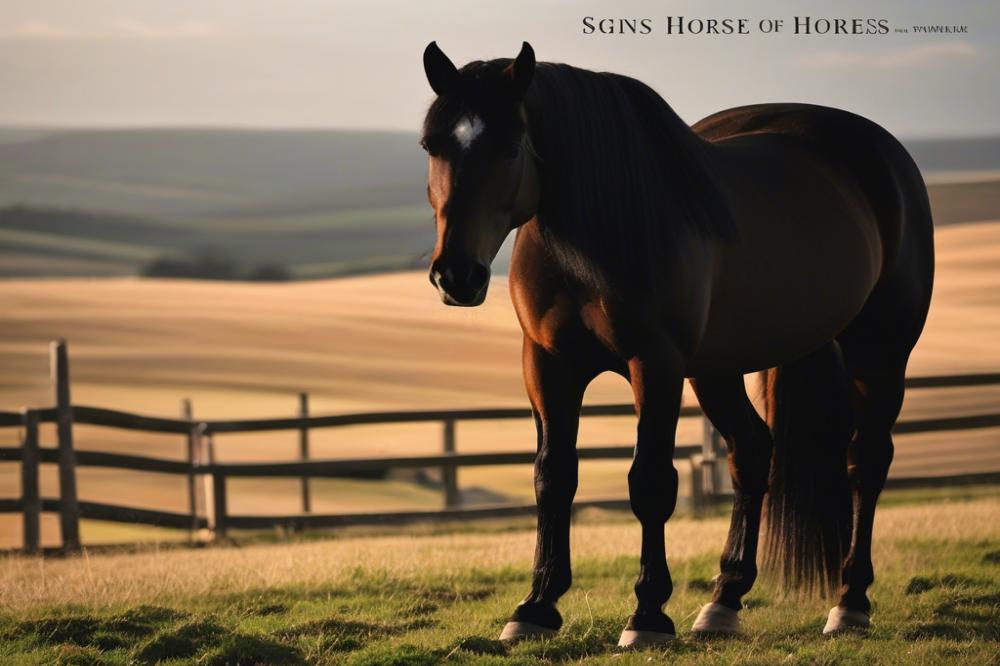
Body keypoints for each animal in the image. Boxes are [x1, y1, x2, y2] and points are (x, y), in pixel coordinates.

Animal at [418, 39, 932, 644]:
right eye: (431, 144)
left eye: (511, 144)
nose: (457, 275)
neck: (594, 233)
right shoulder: (548, 365)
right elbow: (553, 476)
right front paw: (536, 606)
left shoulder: (655, 364)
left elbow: (651, 482)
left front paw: (647, 614)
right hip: (717, 368)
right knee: (752, 453)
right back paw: (724, 601)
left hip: (880, 354)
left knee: (865, 462)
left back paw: (850, 601)